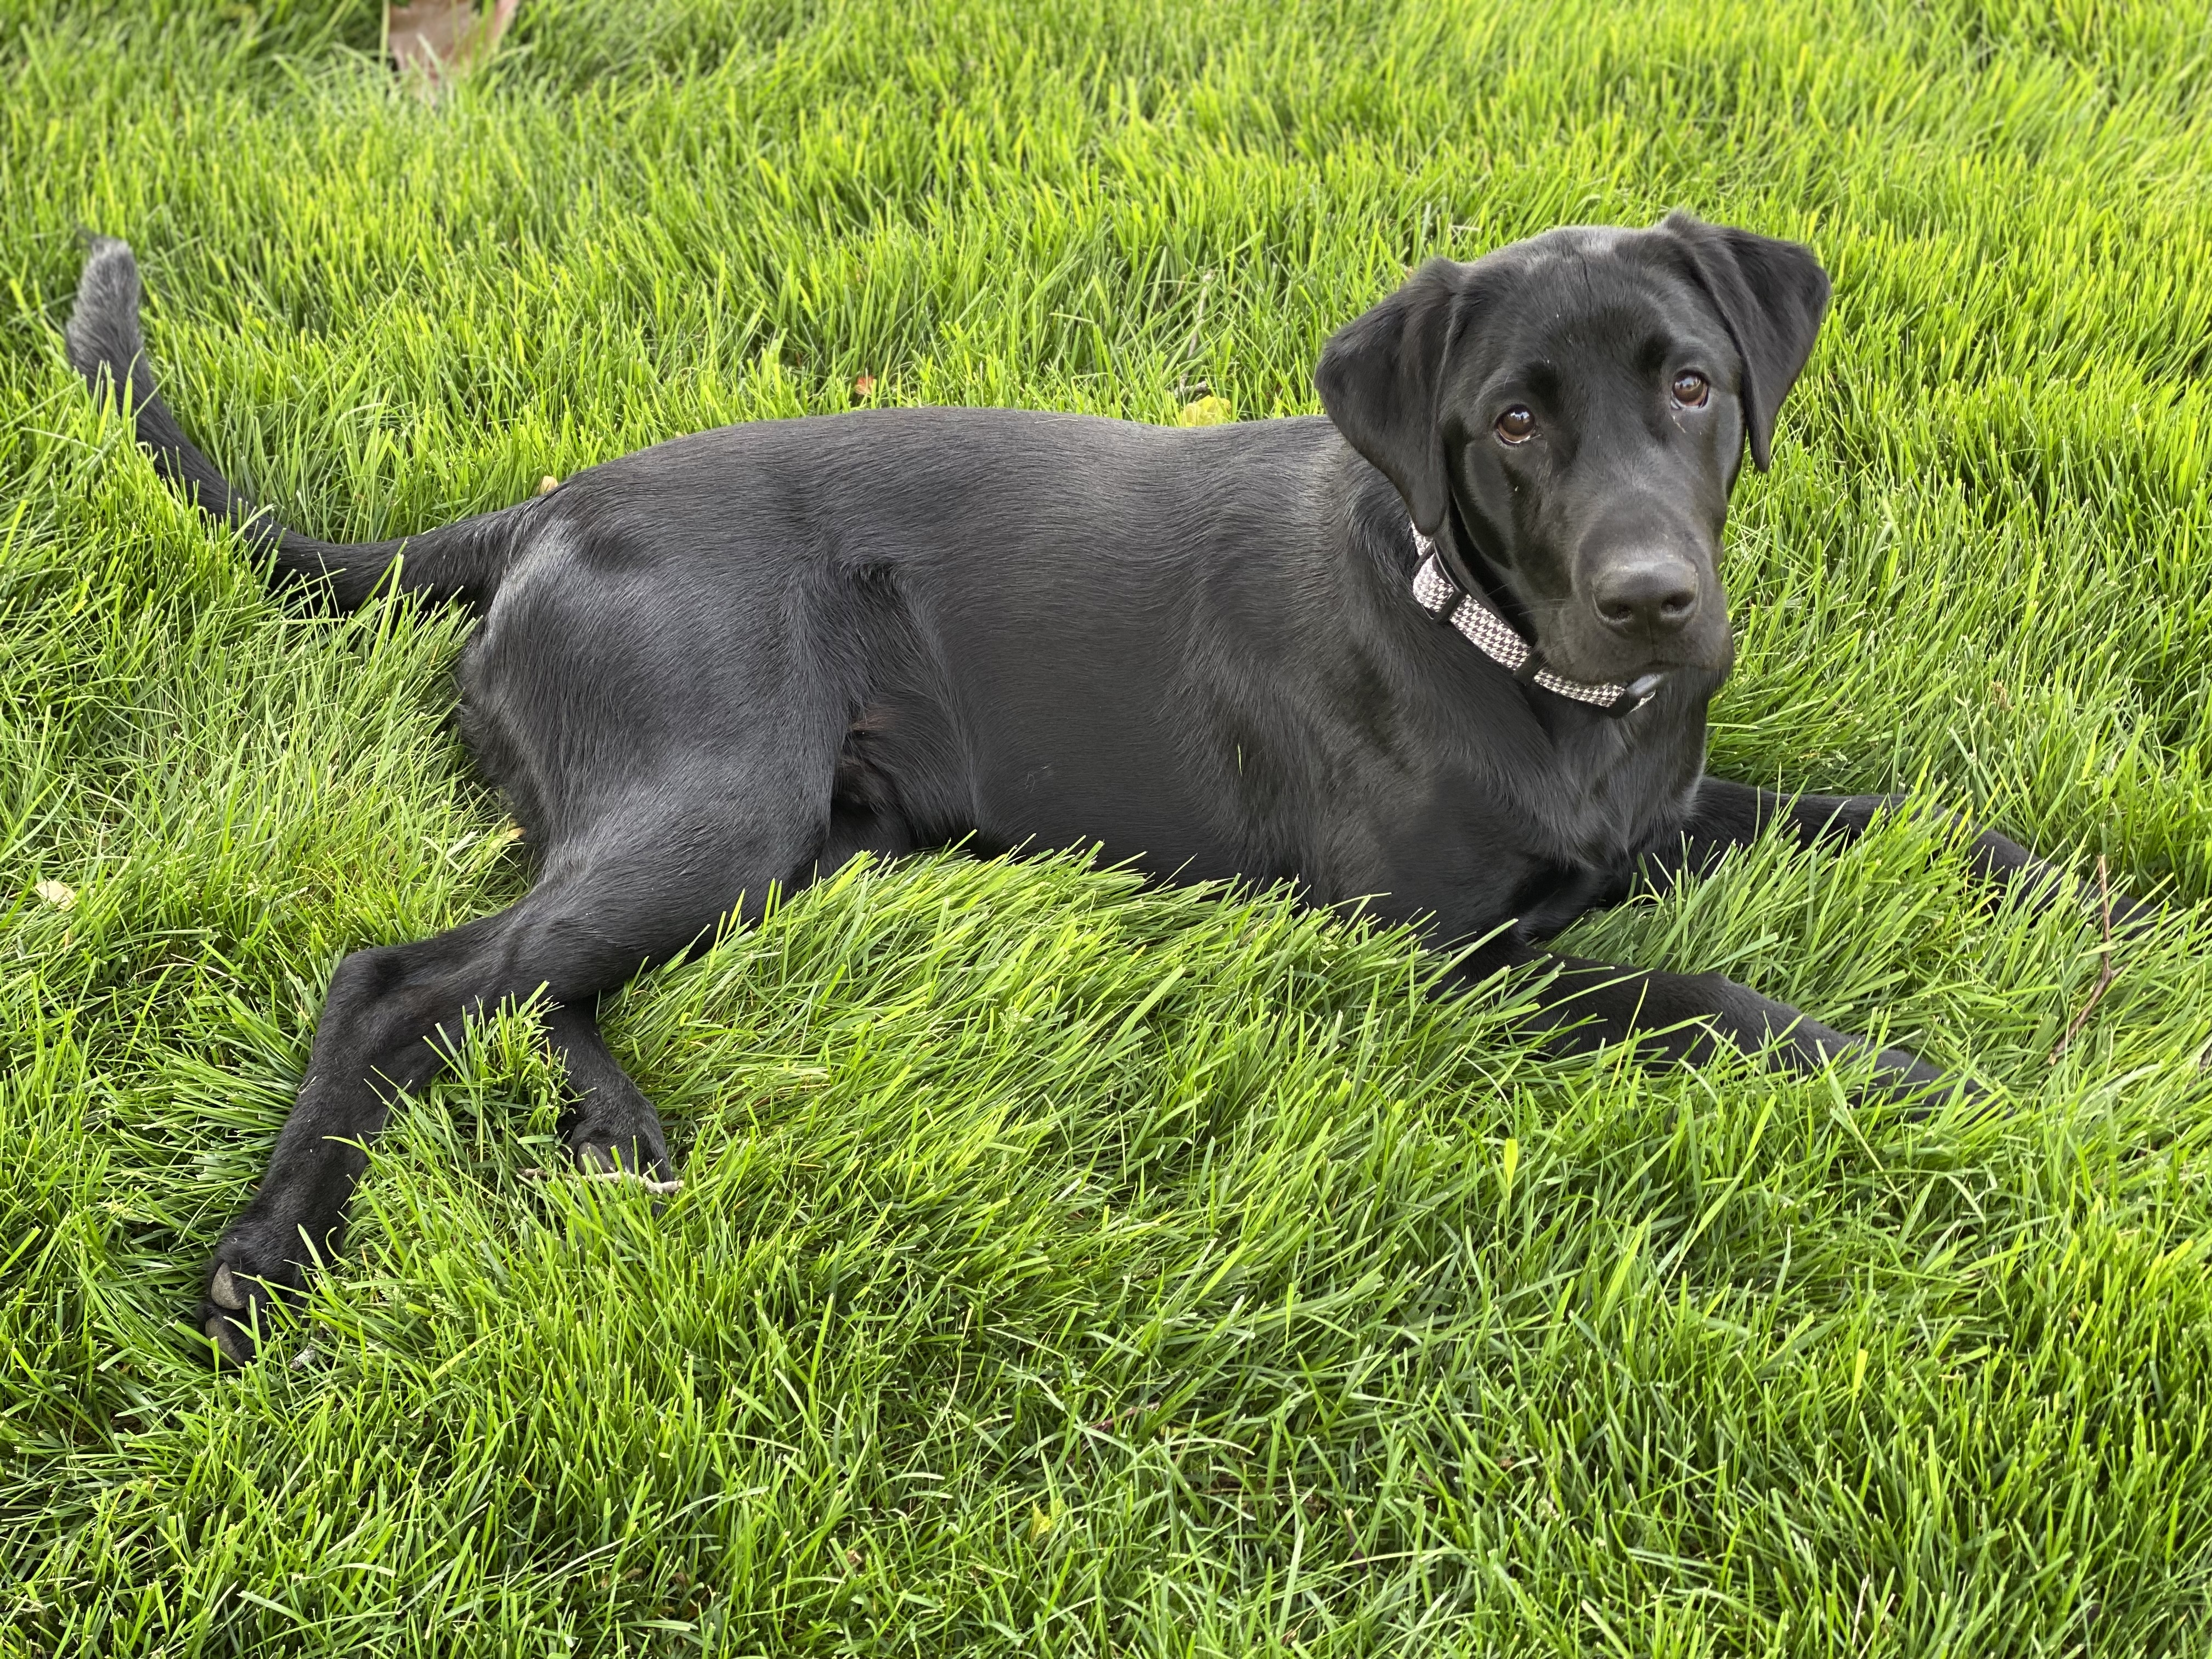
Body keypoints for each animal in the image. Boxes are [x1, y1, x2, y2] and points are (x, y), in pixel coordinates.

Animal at [69, 218, 2097, 1362]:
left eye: (1689, 385)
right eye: (1515, 420)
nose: (1657, 604)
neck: (1513, 659)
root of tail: (542, 513)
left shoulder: (1662, 814)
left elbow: (1894, 814)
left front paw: (2089, 896)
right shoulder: (1449, 959)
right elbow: (1704, 987)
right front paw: (1912, 1070)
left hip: (795, 832)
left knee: (523, 977)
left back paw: (617, 1132)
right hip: (723, 799)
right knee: (398, 980)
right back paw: (267, 1260)